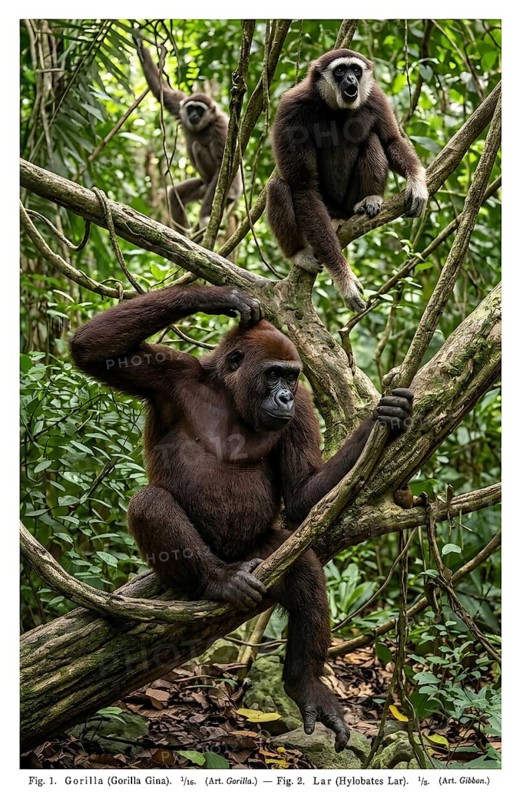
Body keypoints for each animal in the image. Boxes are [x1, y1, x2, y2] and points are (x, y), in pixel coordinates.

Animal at [134, 34, 241, 232]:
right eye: (191, 108)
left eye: (199, 110)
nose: (192, 115)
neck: (206, 125)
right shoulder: (180, 105)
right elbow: (163, 92)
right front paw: (138, 42)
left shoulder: (222, 128)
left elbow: (223, 167)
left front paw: (205, 217)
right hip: (202, 186)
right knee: (176, 195)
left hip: (210, 187)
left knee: (199, 148)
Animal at [267, 48, 429, 311]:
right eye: (340, 71)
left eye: (356, 70)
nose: (351, 80)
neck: (334, 108)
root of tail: (338, 213)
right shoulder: (291, 109)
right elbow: (303, 187)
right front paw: (344, 279)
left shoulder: (375, 97)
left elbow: (390, 141)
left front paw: (417, 184)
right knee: (278, 186)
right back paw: (299, 254)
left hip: (349, 201)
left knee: (372, 138)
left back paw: (370, 198)